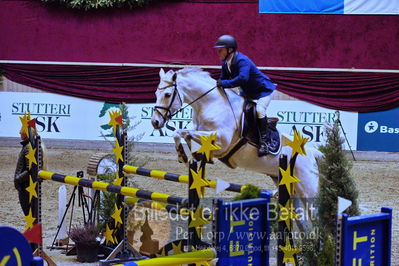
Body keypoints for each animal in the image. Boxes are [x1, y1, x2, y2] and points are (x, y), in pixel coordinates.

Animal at [152, 67, 320, 201]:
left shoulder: (222, 141)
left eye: (167, 94)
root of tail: (312, 153)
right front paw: (192, 156)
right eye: (155, 93)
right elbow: (183, 134)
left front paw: (184, 156)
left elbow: (181, 132)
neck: (211, 104)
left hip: (307, 188)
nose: (155, 122)